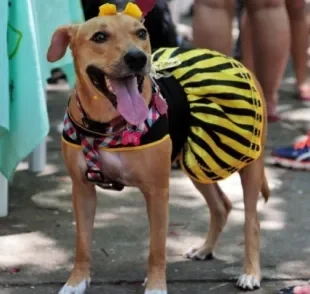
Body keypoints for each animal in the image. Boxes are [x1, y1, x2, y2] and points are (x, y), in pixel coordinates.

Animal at [46, 1, 268, 292]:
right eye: (100, 37)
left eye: (141, 33)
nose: (137, 58)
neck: (107, 125)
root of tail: (231, 60)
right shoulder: (82, 189)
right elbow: (82, 244)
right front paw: (76, 281)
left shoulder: (157, 191)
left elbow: (157, 248)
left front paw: (155, 285)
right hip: (193, 162)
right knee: (221, 206)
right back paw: (205, 249)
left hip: (248, 165)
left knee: (252, 221)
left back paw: (251, 272)